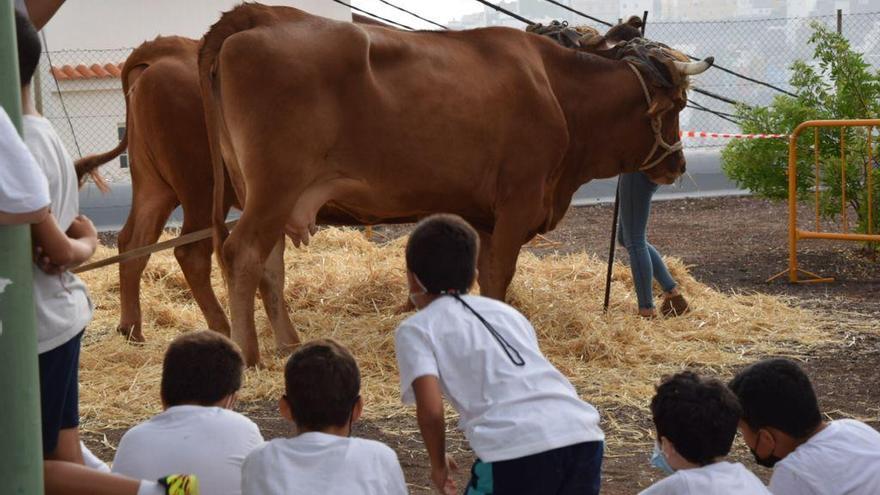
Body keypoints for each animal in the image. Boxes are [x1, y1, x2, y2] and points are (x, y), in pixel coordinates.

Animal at [201, 3, 716, 366]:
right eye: (676, 105)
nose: (676, 165)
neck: (559, 92)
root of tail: (257, 17)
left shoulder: (485, 216)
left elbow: (480, 278)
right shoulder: (517, 204)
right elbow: (499, 276)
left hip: (264, 194)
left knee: (269, 265)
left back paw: (289, 343)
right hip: (274, 189)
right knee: (241, 253)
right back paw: (249, 355)